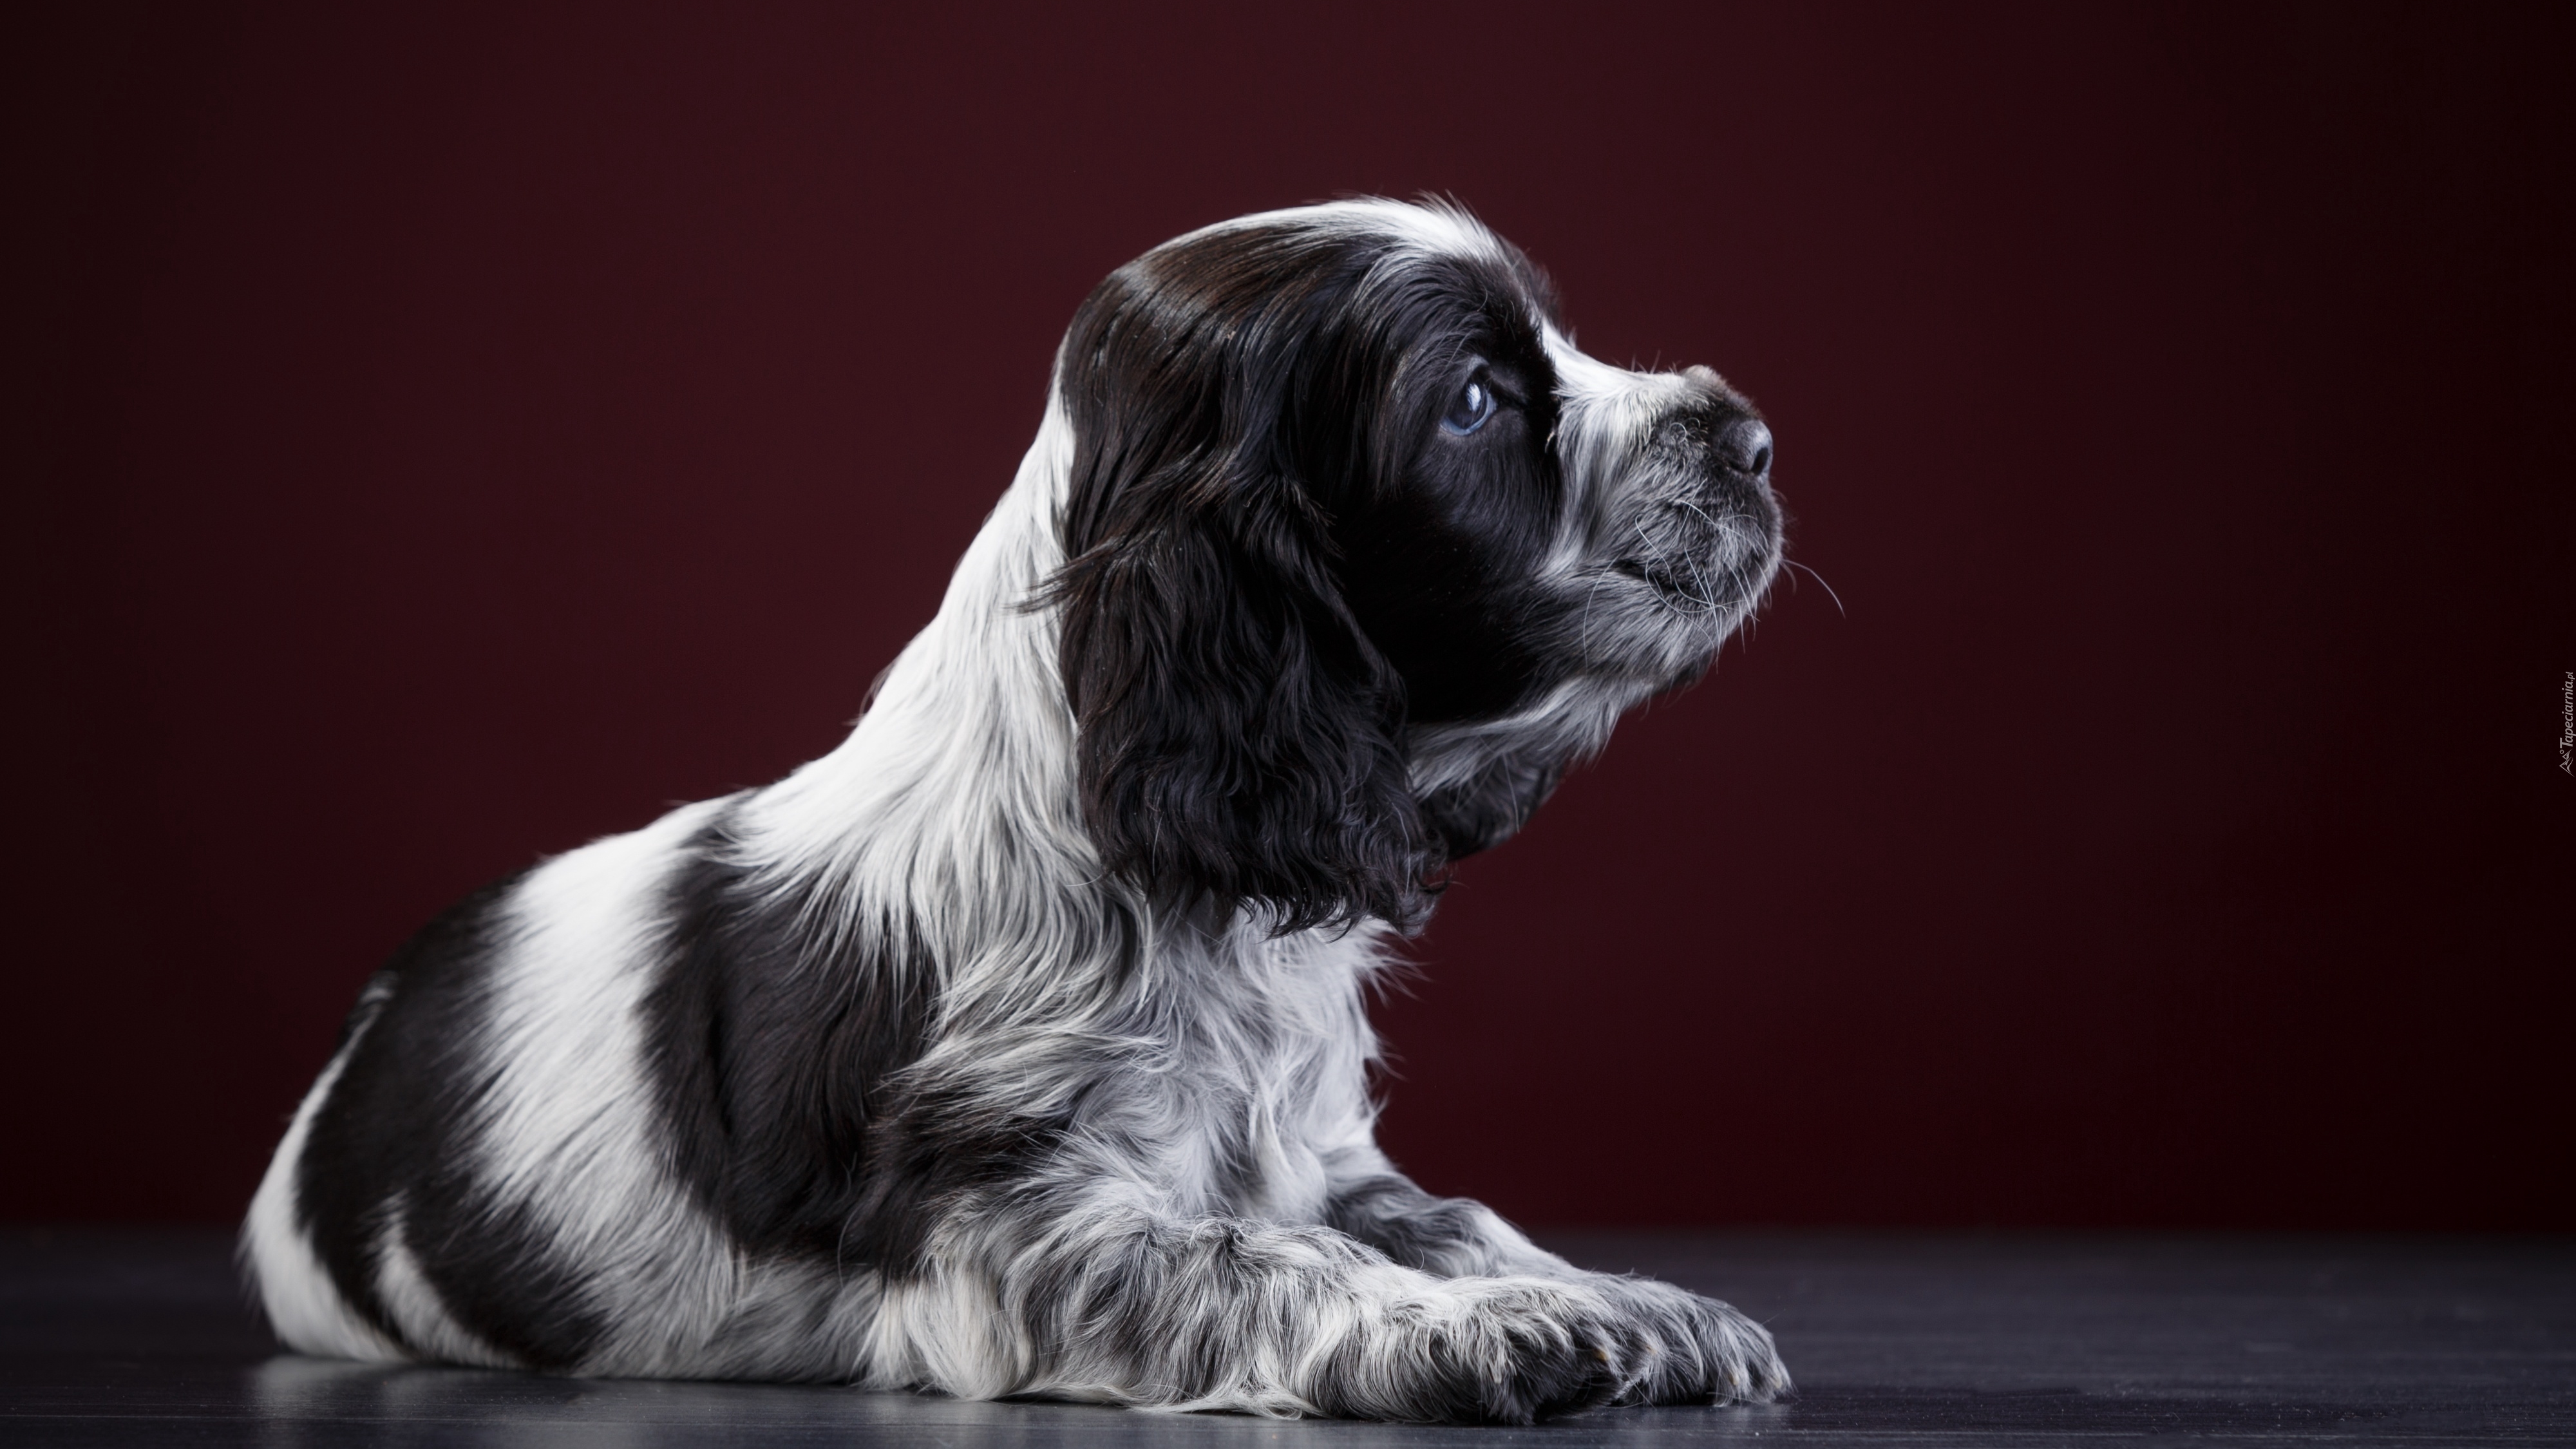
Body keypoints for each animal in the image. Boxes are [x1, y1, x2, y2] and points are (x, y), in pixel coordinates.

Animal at [251, 197, 1803, 1412]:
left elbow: (1448, 1214)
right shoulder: (1005, 1231)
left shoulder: (1313, 1153)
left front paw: (1627, 1298)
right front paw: (1499, 1329)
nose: (1750, 437)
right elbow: (1259, 1259)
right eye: (1473, 400)